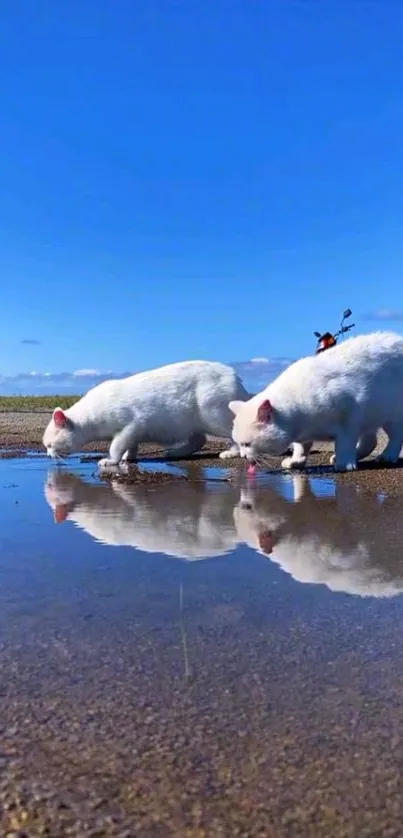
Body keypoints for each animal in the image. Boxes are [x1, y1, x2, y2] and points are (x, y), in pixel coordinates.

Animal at [41, 360, 249, 470]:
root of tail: (234, 376)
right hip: (189, 423)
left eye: (49, 445)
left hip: (213, 415)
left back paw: (232, 452)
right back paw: (176, 452)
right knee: (199, 439)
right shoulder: (133, 432)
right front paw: (129, 457)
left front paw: (112, 460)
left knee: (231, 433)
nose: (48, 454)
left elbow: (116, 446)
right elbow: (131, 446)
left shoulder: (132, 424)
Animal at [229, 332, 403, 472]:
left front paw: (344, 463)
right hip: (373, 413)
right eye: (239, 443)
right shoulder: (302, 433)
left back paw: (387, 456)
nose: (242, 456)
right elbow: (301, 447)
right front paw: (296, 461)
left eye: (247, 444)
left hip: (391, 413)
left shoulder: (349, 411)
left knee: (396, 435)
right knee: (370, 440)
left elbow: (345, 441)